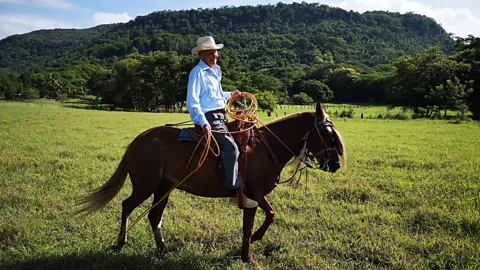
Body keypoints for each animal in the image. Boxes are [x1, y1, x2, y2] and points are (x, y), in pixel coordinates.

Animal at [78, 102, 344, 264]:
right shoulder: (253, 195)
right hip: (146, 185)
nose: (336, 164)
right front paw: (248, 257)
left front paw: (256, 239)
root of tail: (136, 141)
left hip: (165, 187)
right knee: (127, 206)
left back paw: (163, 249)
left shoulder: (257, 193)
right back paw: (120, 243)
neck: (266, 147)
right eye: (327, 133)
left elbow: (271, 214)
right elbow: (248, 226)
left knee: (154, 216)